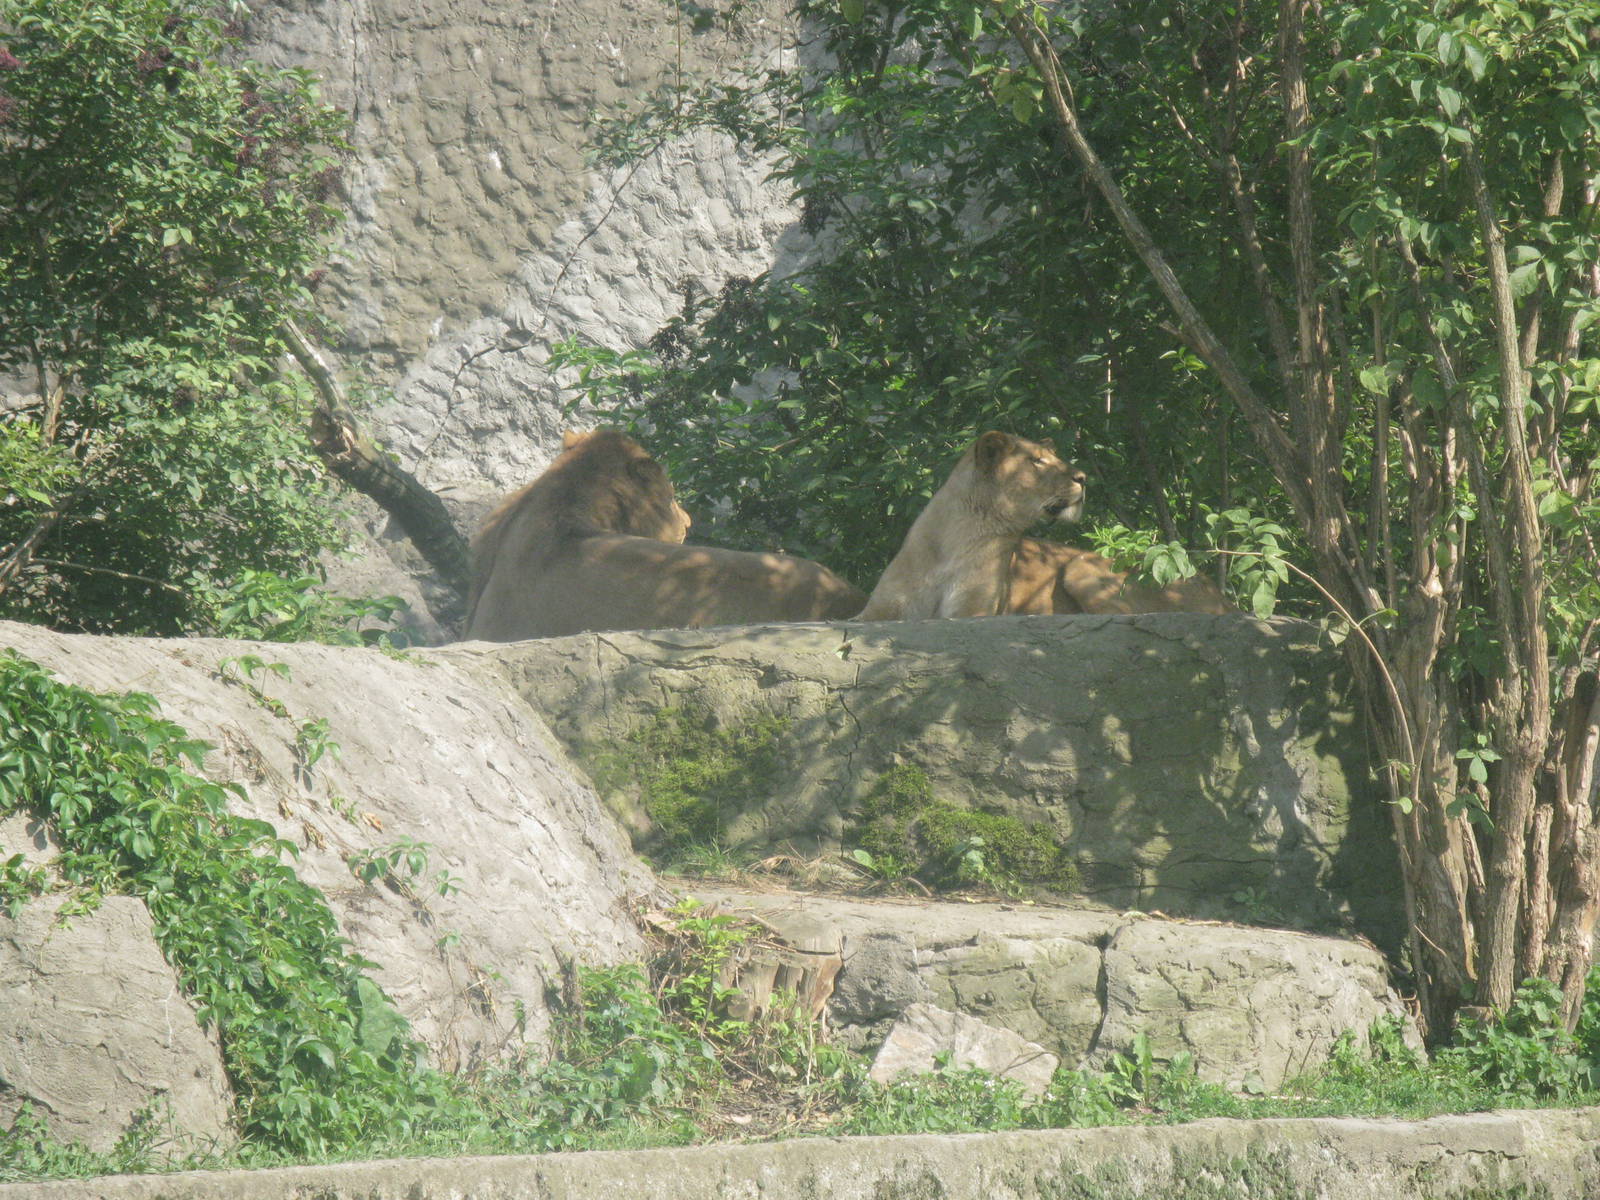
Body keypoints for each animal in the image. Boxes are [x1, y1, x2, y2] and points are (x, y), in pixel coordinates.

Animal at [857, 431, 1087, 620]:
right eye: (1037, 460)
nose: (1083, 478)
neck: (956, 537)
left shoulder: (972, 610)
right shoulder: (878, 610)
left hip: (1078, 568)